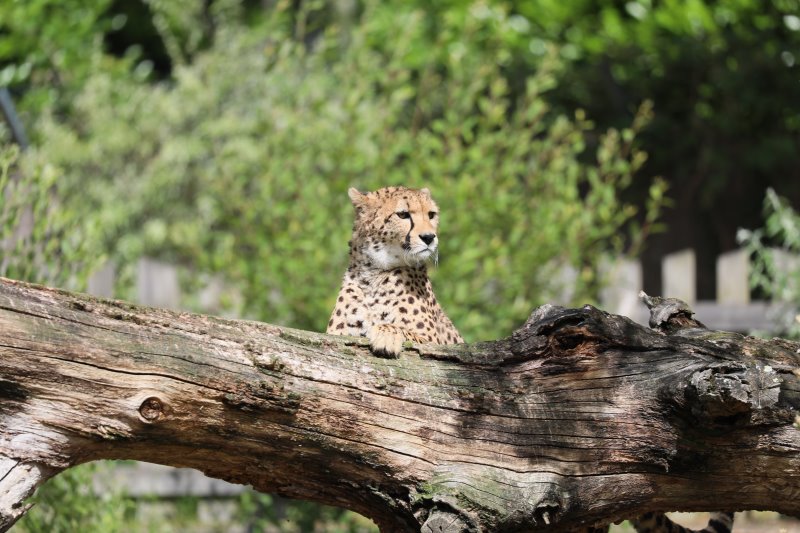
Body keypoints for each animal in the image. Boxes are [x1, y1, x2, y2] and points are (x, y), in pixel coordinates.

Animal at [324, 185, 462, 356]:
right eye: (403, 214)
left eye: (431, 214)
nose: (429, 237)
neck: (372, 275)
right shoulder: (337, 334)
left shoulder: (433, 342)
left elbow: (402, 329)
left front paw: (386, 335)